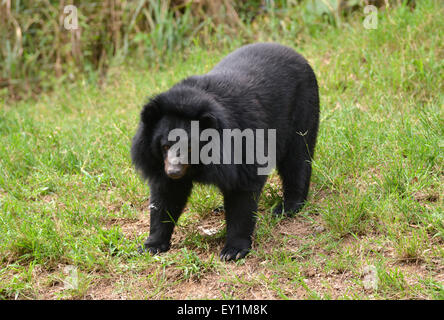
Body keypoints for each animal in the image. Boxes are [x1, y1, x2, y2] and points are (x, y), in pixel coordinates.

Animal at [131, 42, 320, 262]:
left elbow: (242, 191)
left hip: (303, 108)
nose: (174, 172)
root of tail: (295, 53)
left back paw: (287, 206)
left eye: (189, 146)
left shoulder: (242, 144)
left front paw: (233, 250)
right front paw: (151, 245)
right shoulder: (156, 161)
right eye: (165, 146)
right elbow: (167, 195)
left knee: (297, 158)